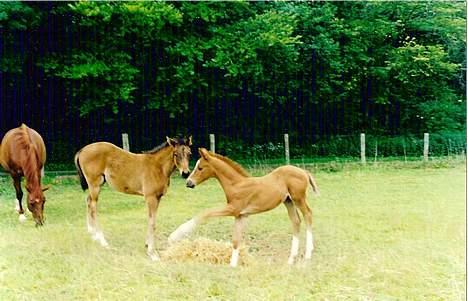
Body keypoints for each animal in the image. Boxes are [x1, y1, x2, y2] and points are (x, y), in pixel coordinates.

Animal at [168, 146, 318, 266]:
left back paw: (308, 254)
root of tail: (304, 172)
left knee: (308, 215)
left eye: (200, 168)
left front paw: (176, 235)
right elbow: (236, 240)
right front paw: (233, 265)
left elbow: (205, 213)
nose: (189, 182)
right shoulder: (241, 215)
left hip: (298, 198)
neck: (236, 185)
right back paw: (291, 259)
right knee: (296, 221)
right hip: (288, 201)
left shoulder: (233, 209)